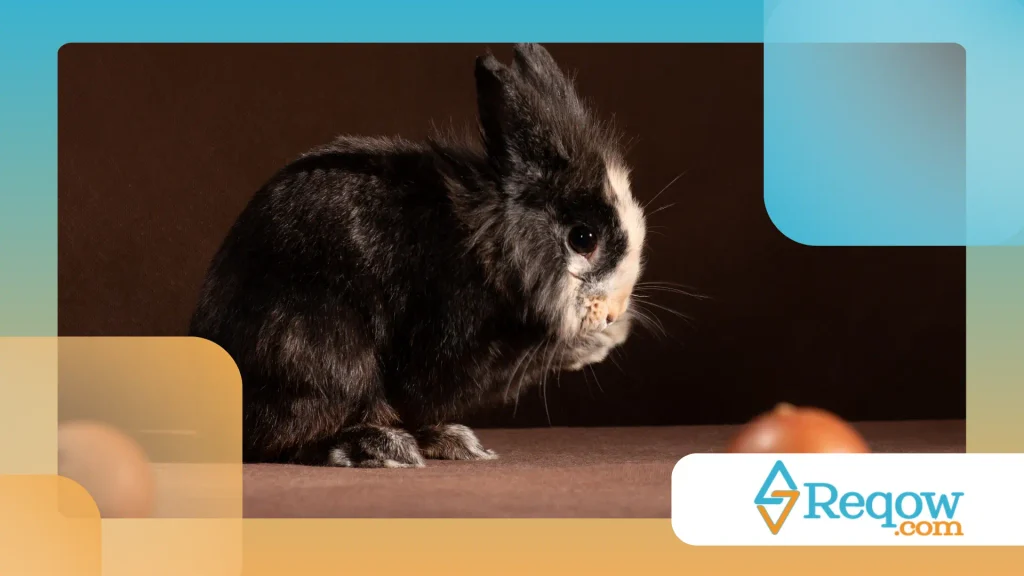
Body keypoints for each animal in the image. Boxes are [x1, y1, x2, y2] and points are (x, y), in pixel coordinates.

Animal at [188, 43, 648, 468]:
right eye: (583, 238)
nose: (613, 313)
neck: (490, 245)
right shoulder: (447, 338)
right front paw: (595, 340)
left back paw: (450, 441)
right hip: (323, 354)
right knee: (281, 439)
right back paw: (375, 447)